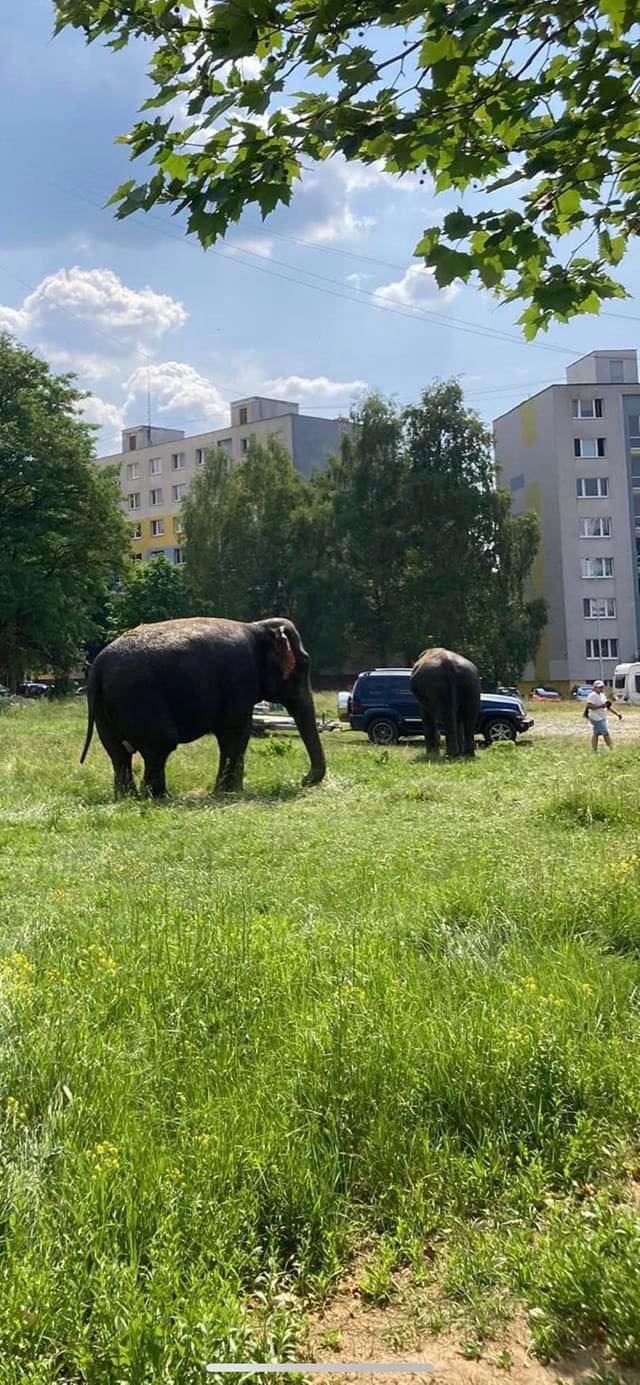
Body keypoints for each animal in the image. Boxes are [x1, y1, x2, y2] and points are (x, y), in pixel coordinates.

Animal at [80, 620, 326, 803]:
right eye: (304, 662)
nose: (303, 779)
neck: (257, 626)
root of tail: (98, 666)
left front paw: (229, 792)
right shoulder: (240, 677)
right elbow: (236, 732)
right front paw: (230, 793)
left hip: (104, 706)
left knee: (118, 752)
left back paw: (128, 798)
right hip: (140, 696)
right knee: (160, 744)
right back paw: (159, 798)